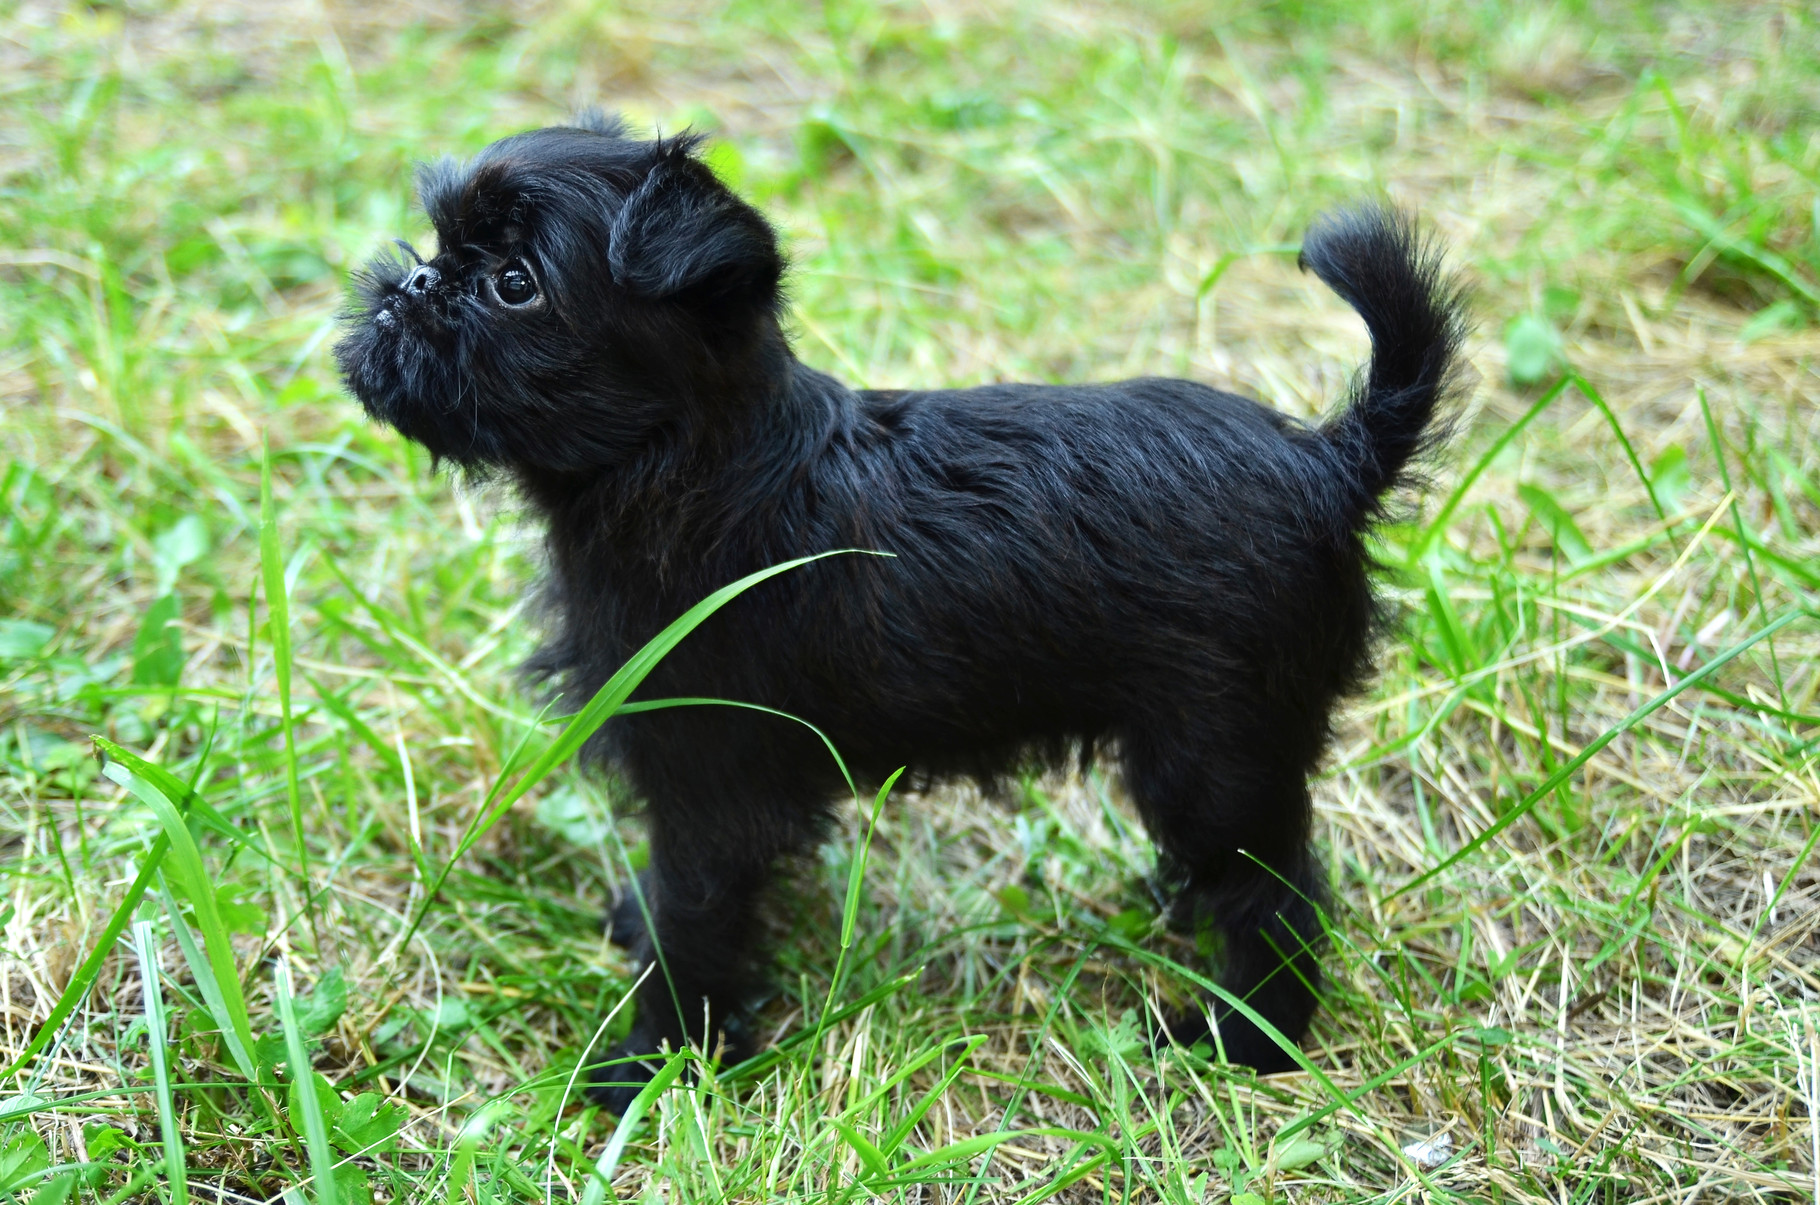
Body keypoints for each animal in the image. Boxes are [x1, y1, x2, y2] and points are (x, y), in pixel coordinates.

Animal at [338, 113, 1463, 1113]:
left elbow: (695, 922)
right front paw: (642, 936)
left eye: (512, 284)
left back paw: (1248, 1040)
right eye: (441, 249)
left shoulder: (710, 782)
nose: (417, 283)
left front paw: (654, 1063)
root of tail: (1331, 458)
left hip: (1213, 751)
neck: (695, 469)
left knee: (1279, 895)